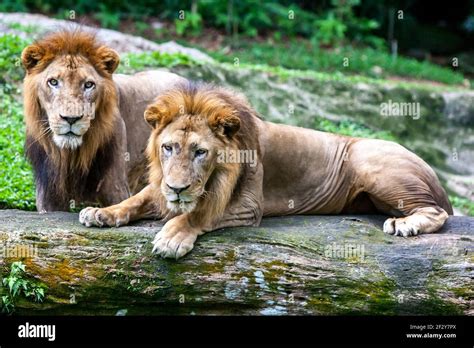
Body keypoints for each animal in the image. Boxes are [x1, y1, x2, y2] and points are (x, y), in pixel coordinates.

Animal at [21, 30, 185, 212]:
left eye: (88, 85)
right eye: (53, 82)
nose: (71, 119)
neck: (71, 155)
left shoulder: (116, 188)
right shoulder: (49, 197)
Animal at [79, 81, 454, 258]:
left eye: (200, 152)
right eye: (168, 148)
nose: (177, 189)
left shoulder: (248, 205)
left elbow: (199, 214)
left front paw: (172, 236)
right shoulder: (159, 187)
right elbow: (135, 200)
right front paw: (101, 213)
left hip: (371, 162)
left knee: (437, 212)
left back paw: (405, 224)